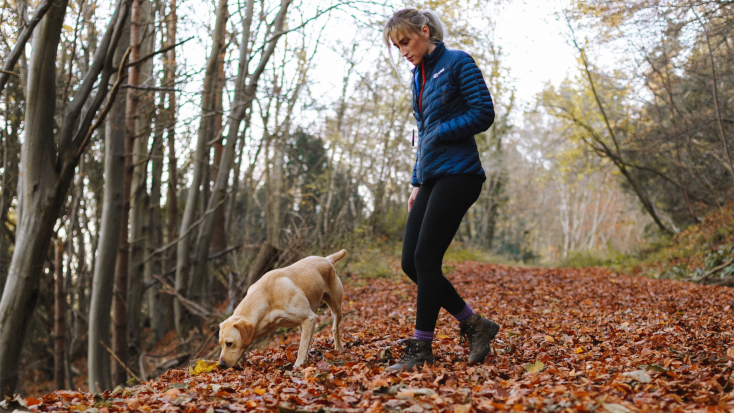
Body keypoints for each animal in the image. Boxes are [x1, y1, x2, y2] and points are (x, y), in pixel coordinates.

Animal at [218, 248, 348, 366]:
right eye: (221, 344)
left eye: (229, 343)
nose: (221, 365)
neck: (266, 296)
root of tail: (326, 259)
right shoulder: (262, 327)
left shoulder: (310, 318)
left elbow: (302, 347)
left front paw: (299, 364)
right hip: (302, 324)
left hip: (336, 309)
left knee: (334, 329)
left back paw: (338, 348)